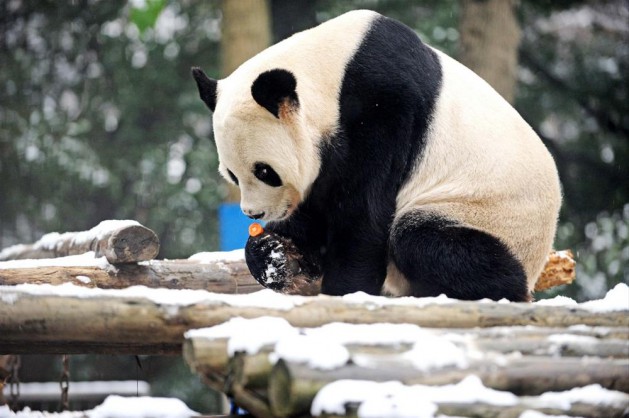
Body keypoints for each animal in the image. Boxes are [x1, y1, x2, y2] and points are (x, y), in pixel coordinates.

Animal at [191, 9, 560, 300]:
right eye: (232, 175)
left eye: (265, 171)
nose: (253, 213)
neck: (330, 70)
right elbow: (320, 205)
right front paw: (275, 253)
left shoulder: (385, 106)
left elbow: (364, 208)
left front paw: (344, 291)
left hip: (485, 213)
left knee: (424, 241)